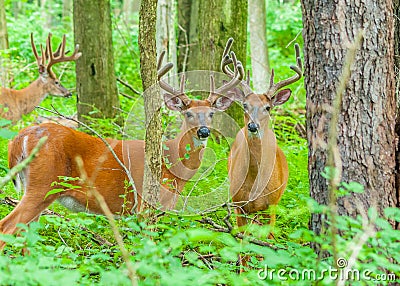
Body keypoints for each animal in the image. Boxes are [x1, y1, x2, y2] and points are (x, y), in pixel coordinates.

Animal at [0, 44, 244, 244]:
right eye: (188, 114)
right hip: (43, 184)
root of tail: (19, 139)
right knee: (7, 228)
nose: (203, 131)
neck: (171, 163)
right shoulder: (144, 205)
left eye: (211, 113)